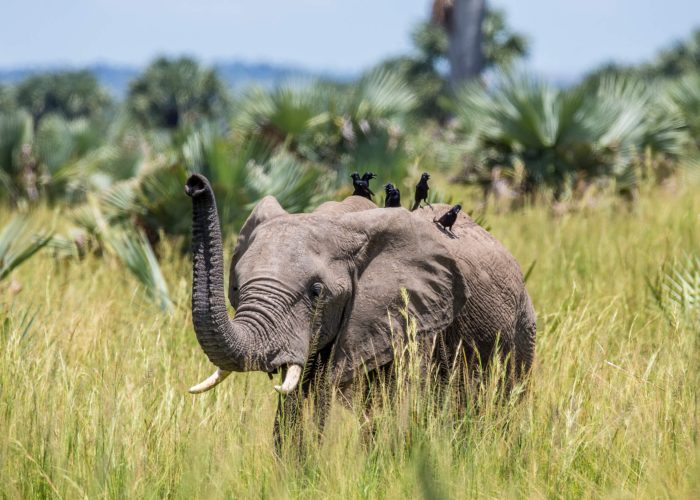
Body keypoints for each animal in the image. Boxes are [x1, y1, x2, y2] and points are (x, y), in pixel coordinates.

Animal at [184, 173, 536, 445]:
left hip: (522, 328)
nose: (194, 185)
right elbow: (297, 409)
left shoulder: (417, 317)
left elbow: (402, 408)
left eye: (316, 292)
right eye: (237, 288)